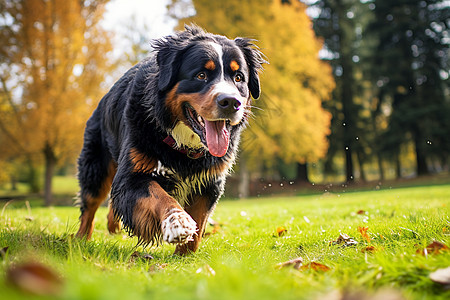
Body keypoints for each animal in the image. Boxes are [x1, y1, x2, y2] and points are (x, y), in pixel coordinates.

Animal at [75, 25, 266, 254]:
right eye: (201, 75)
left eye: (238, 78)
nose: (231, 102)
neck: (185, 145)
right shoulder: (134, 173)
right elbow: (159, 197)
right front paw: (177, 223)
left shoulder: (209, 182)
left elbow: (199, 222)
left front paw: (184, 256)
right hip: (96, 166)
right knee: (90, 206)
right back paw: (79, 241)